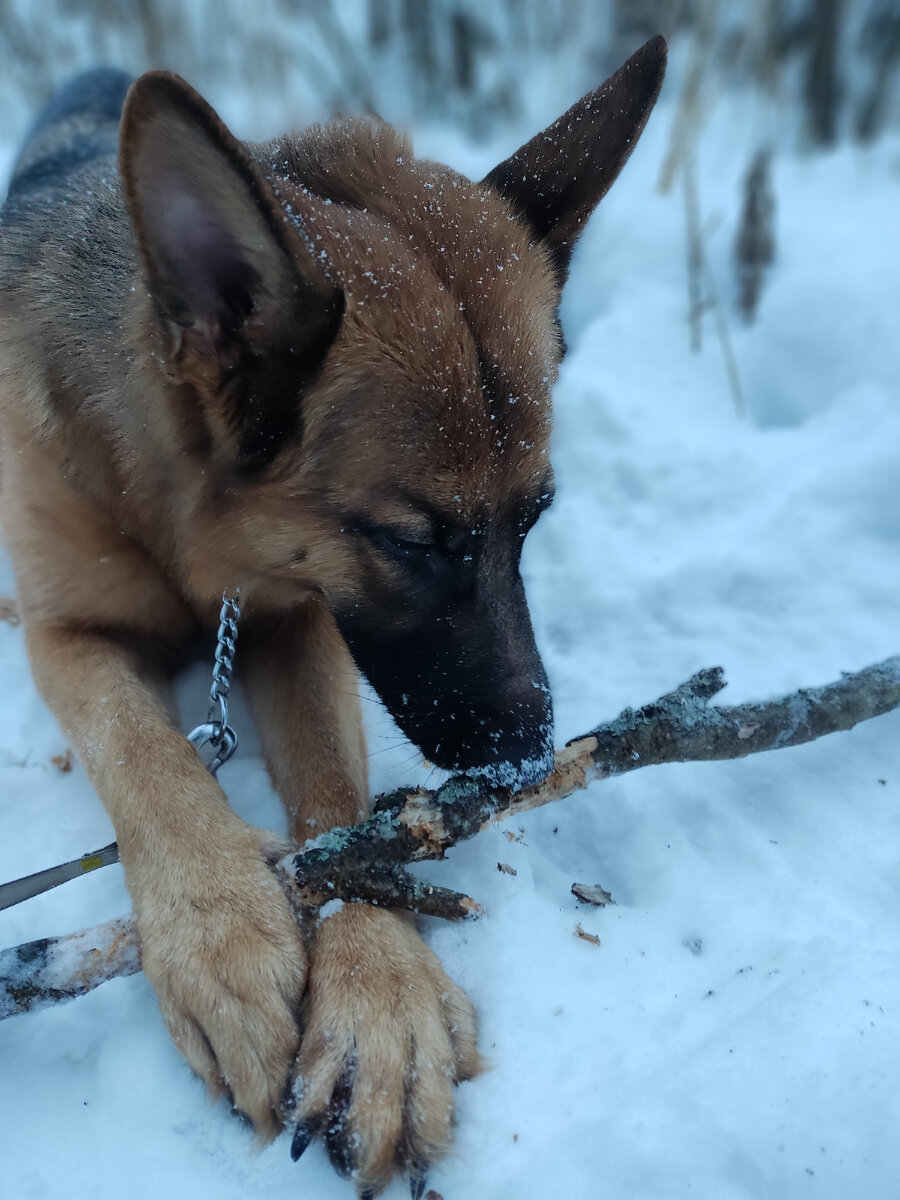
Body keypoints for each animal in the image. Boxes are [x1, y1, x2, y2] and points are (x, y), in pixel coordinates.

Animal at [1, 35, 672, 1190]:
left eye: (534, 520)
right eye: (414, 543)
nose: (530, 759)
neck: (183, 530)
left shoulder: (292, 617)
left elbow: (342, 804)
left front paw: (380, 996)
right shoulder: (68, 636)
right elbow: (146, 753)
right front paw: (218, 929)